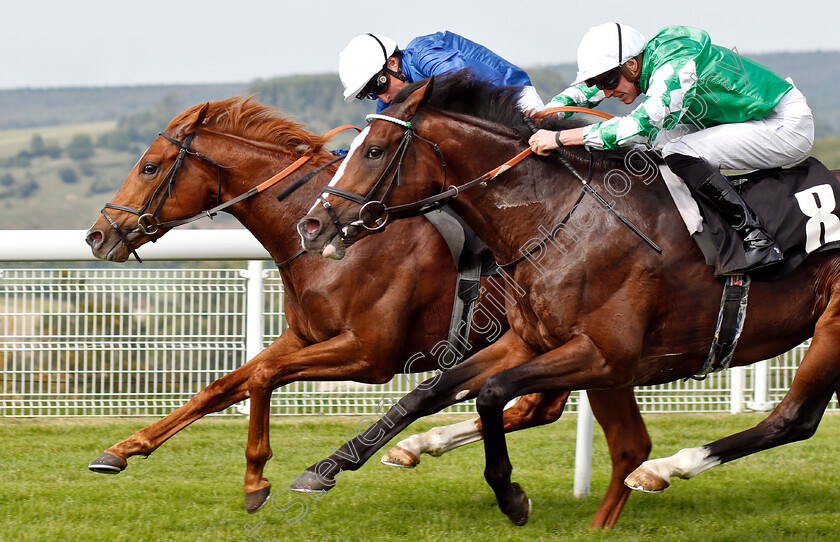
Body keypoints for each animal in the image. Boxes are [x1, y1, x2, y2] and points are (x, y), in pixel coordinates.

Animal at [85, 96, 648, 528]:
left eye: (149, 166)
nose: (97, 235)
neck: (316, 237)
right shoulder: (305, 337)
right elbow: (222, 387)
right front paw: (122, 450)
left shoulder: (368, 356)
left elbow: (263, 377)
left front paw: (255, 479)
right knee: (539, 409)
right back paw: (417, 447)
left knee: (540, 408)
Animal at [296, 76, 840, 528]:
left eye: (373, 151)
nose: (312, 225)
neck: (557, 220)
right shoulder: (529, 340)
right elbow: (429, 392)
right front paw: (326, 467)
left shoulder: (608, 356)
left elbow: (491, 392)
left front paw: (511, 497)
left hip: (831, 326)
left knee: (792, 419)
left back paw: (662, 469)